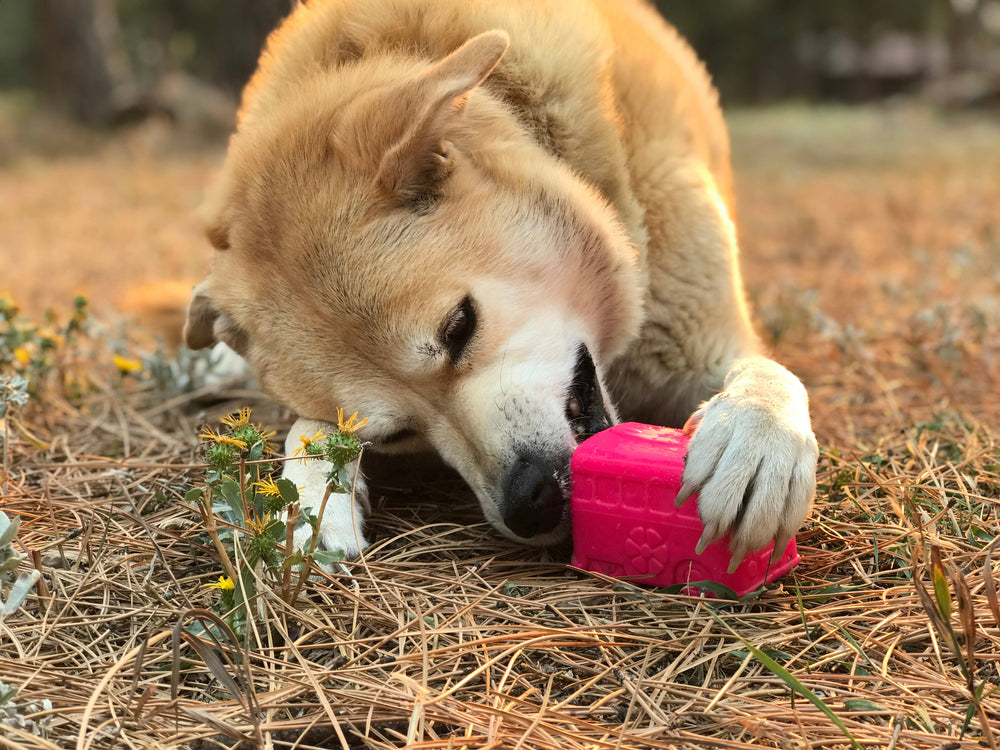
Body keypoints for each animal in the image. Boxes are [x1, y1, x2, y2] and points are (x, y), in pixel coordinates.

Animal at [188, 0, 820, 568]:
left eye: (460, 326)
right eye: (391, 436)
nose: (529, 504)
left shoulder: (704, 343)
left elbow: (767, 373)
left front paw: (753, 437)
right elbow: (308, 429)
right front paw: (310, 501)